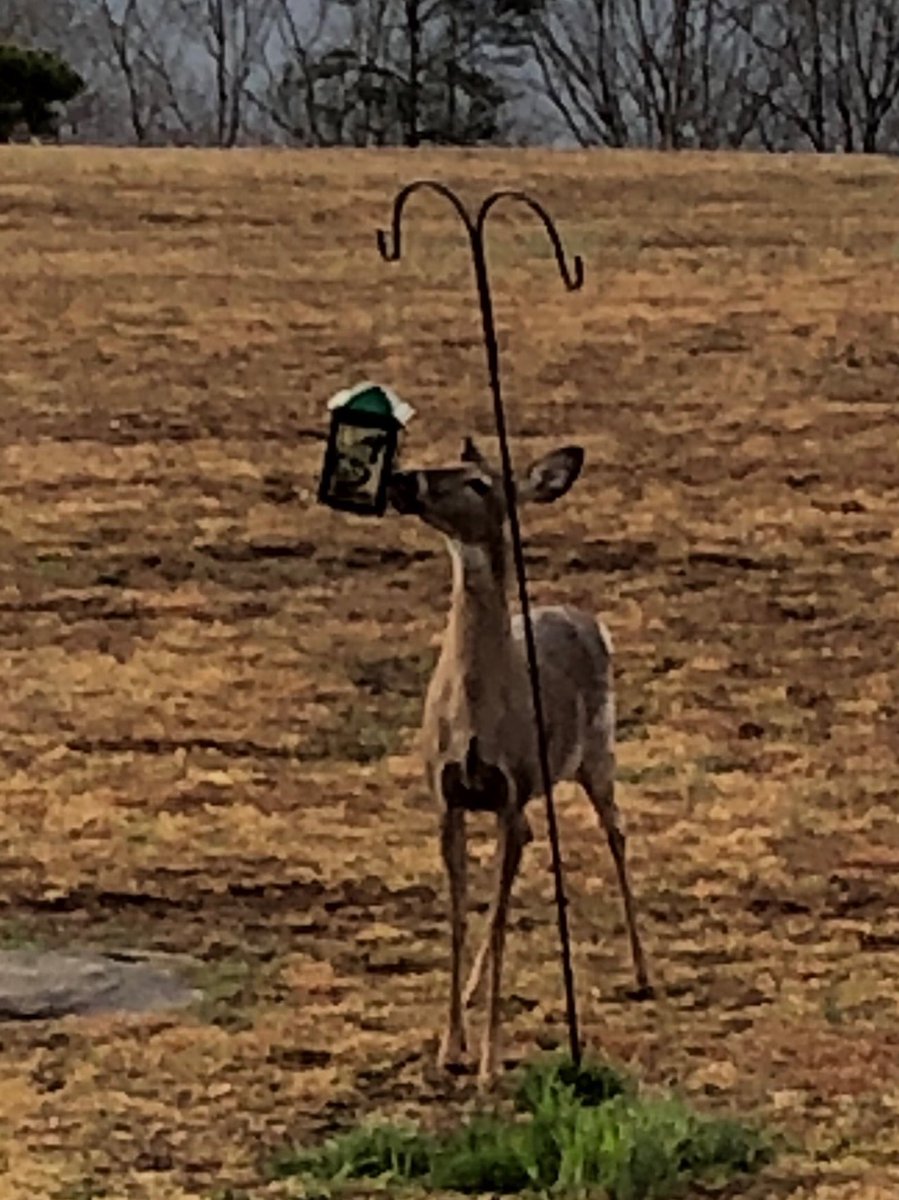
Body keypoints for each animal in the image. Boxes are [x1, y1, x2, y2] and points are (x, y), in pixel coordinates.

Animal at [388, 437, 651, 1088]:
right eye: (442, 458)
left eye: (480, 482)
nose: (403, 480)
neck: (477, 715)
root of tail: (586, 617)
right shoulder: (447, 794)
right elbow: (459, 915)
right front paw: (449, 1047)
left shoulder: (510, 788)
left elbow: (503, 919)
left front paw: (487, 1063)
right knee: (539, 839)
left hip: (598, 750)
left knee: (617, 833)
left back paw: (643, 972)